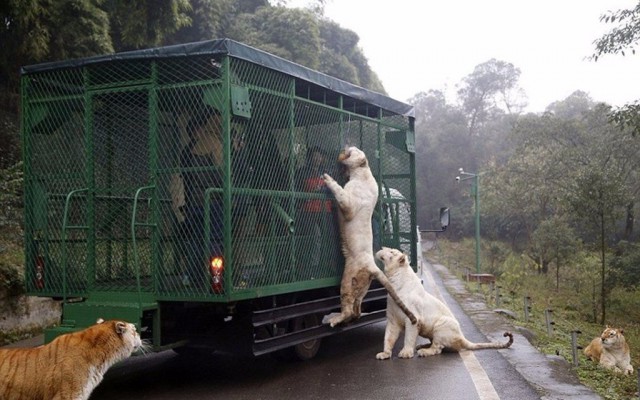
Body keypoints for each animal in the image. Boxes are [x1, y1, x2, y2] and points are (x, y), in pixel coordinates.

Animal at [322, 145, 418, 326]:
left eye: (353, 150)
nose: (345, 146)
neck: (362, 171)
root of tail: (373, 266)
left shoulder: (350, 205)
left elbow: (341, 194)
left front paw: (327, 178)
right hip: (362, 286)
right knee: (357, 308)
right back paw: (350, 317)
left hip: (349, 277)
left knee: (348, 304)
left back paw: (335, 320)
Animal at [372, 247, 512, 360]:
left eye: (391, 251)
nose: (382, 247)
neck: (393, 281)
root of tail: (461, 336)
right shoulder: (392, 319)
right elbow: (388, 337)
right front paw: (384, 354)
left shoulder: (413, 319)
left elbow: (409, 337)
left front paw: (406, 353)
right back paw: (421, 346)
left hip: (442, 324)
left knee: (437, 348)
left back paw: (424, 351)